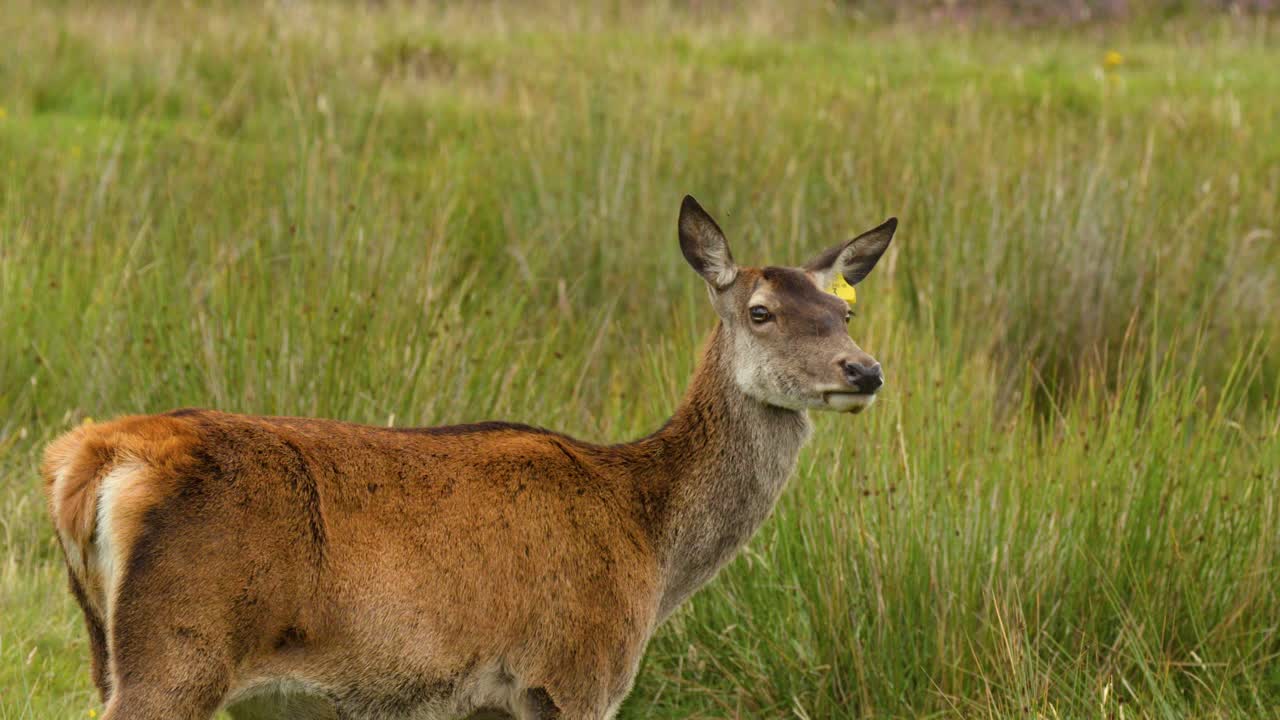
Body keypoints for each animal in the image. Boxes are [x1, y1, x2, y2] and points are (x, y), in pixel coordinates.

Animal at [41, 196, 896, 720]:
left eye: (843, 311)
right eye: (761, 311)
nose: (864, 370)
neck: (651, 545)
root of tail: (89, 462)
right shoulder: (576, 672)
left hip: (103, 646)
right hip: (177, 649)